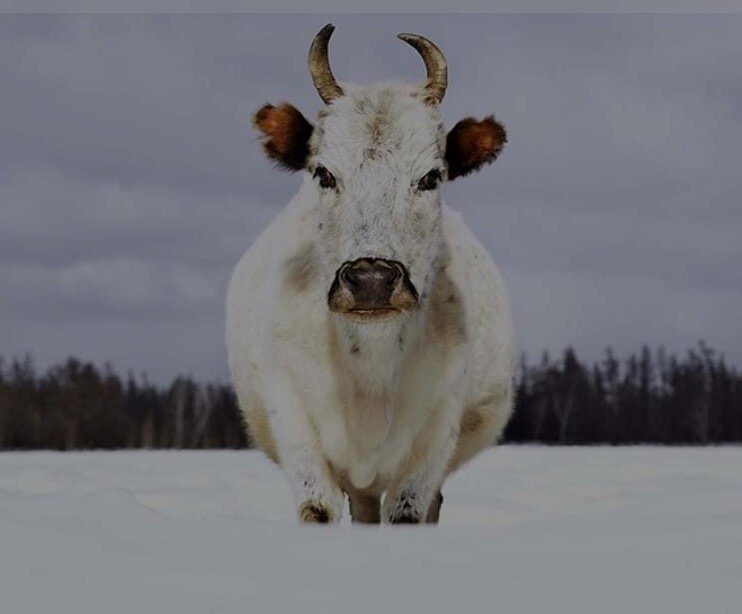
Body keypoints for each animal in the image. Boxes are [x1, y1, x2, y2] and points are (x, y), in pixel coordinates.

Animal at [228, 24, 516, 524]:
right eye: (324, 174)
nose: (371, 282)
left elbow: (408, 511)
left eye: (430, 177)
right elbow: (317, 509)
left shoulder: (435, 432)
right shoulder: (294, 415)